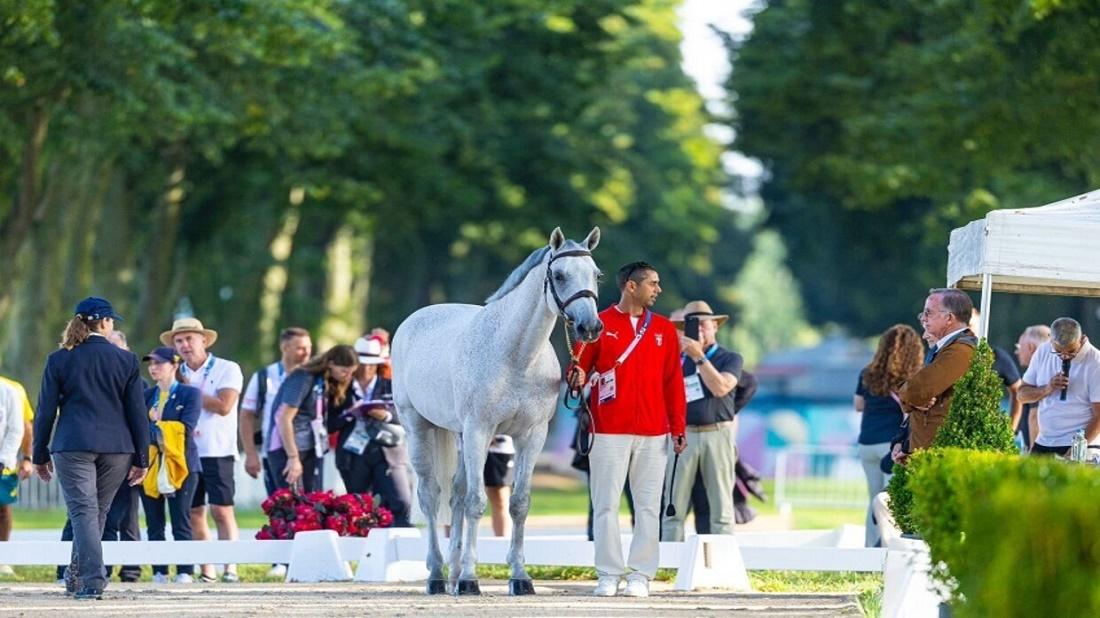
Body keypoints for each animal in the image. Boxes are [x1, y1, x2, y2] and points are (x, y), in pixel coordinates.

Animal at [393, 226, 602, 593]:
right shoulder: (480, 430)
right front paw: (470, 580)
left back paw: (453, 571)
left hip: (458, 434)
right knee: (431, 496)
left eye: (597, 275)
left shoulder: (532, 435)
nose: (588, 327)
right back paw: (438, 576)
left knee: (456, 493)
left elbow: (519, 504)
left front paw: (520, 577)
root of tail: (413, 320)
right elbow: (476, 503)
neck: (515, 356)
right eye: (559, 275)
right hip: (418, 427)